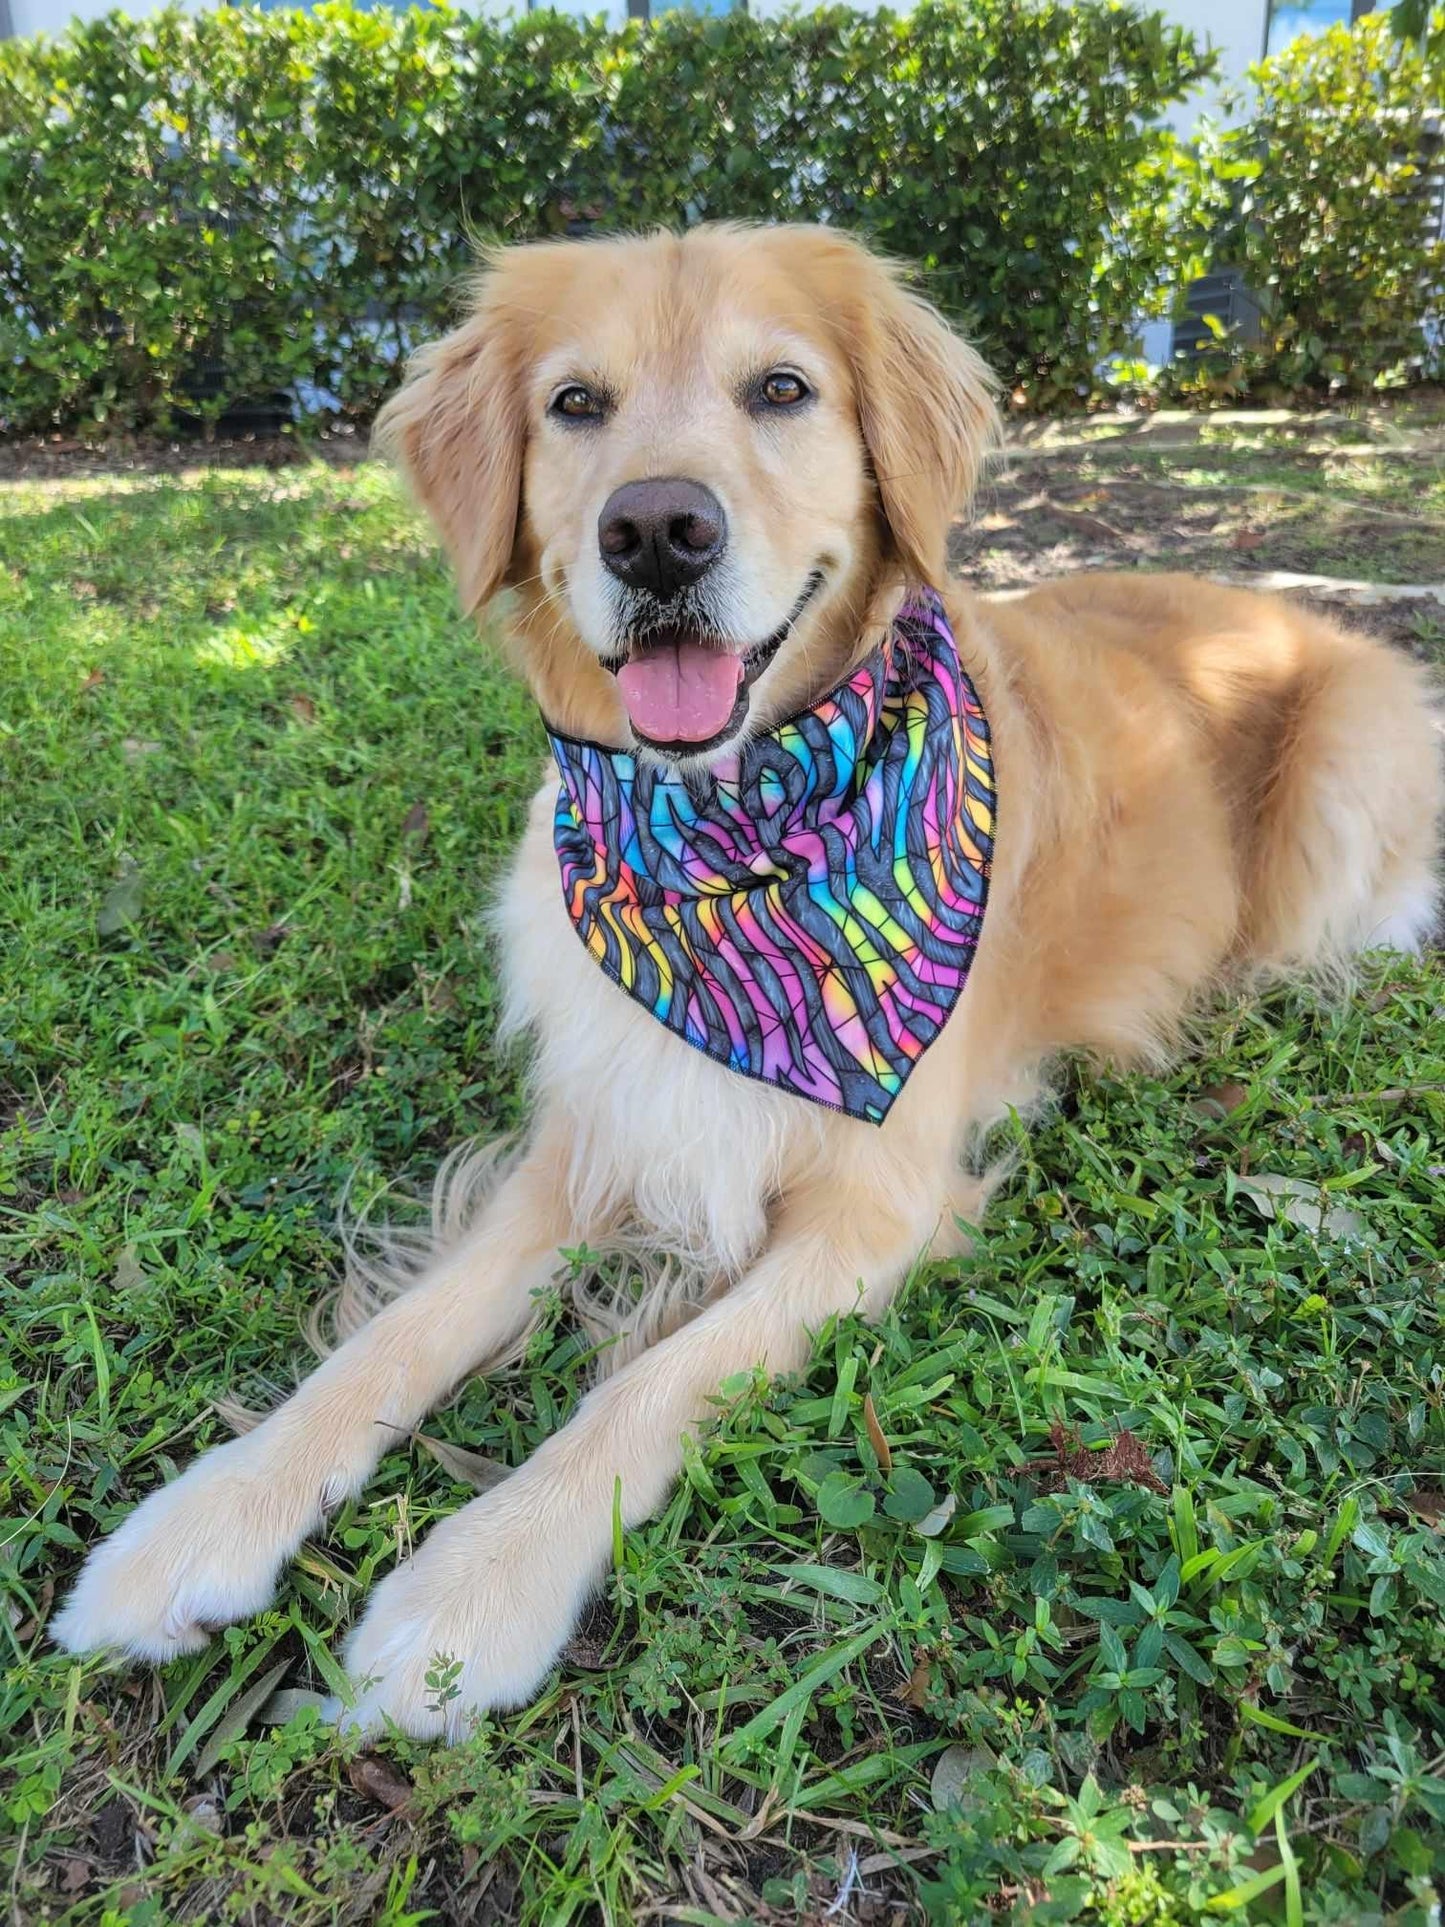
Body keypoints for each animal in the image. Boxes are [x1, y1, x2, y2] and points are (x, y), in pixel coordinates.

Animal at [53, 221, 1441, 1734]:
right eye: (575, 403)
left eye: (781, 390)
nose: (657, 531)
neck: (734, 838)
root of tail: (1282, 602)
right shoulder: (600, 1123)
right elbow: (398, 1335)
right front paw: (211, 1514)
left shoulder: (872, 1205)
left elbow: (655, 1380)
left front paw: (477, 1585)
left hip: (1335, 798)